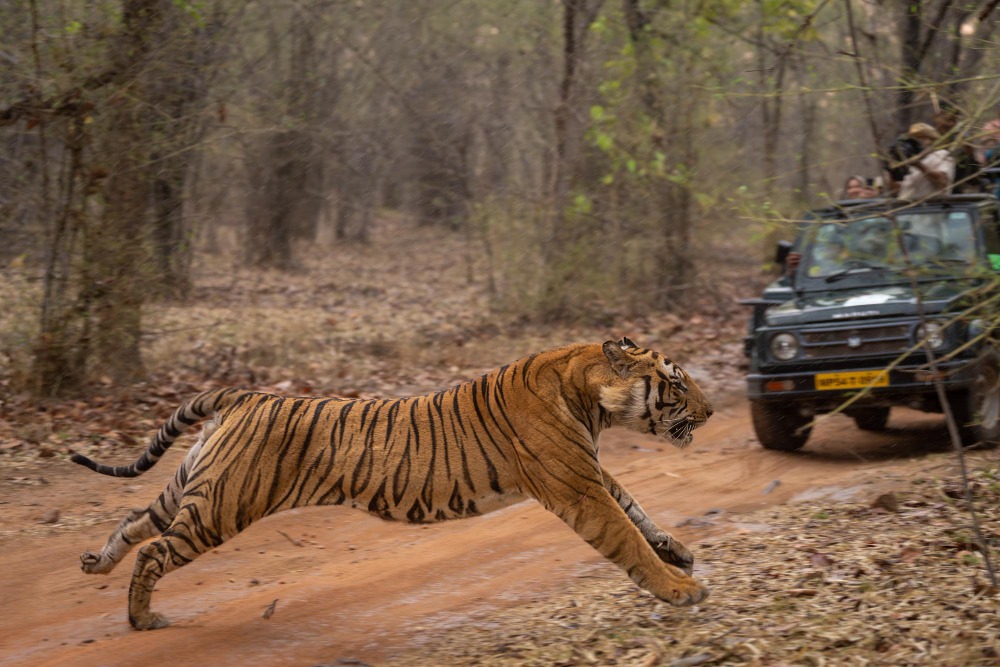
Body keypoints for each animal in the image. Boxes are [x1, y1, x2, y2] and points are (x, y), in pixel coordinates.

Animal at [72, 337, 714, 630]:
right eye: (677, 383)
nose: (709, 412)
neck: (588, 396)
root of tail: (244, 394)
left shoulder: (590, 471)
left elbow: (636, 509)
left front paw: (678, 552)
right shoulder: (578, 487)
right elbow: (625, 536)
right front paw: (681, 590)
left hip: (195, 489)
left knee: (134, 522)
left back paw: (95, 564)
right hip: (222, 506)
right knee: (154, 550)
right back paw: (142, 620)